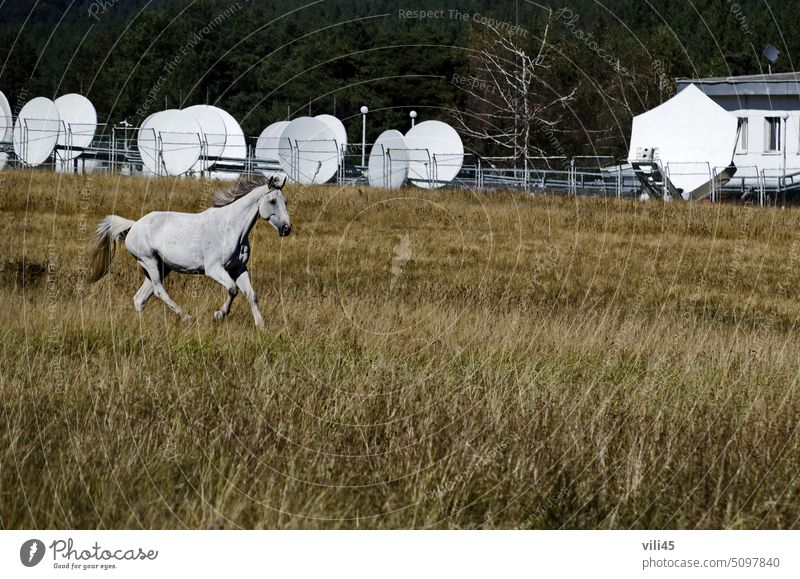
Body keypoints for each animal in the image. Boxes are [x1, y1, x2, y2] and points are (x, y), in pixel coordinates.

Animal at [90, 172, 290, 328]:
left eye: (285, 202)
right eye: (272, 201)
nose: (287, 228)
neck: (231, 228)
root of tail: (133, 225)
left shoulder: (238, 268)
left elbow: (252, 295)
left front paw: (261, 326)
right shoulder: (214, 269)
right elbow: (233, 289)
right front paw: (218, 315)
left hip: (161, 267)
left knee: (141, 298)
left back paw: (143, 327)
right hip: (150, 261)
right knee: (159, 291)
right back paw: (186, 317)